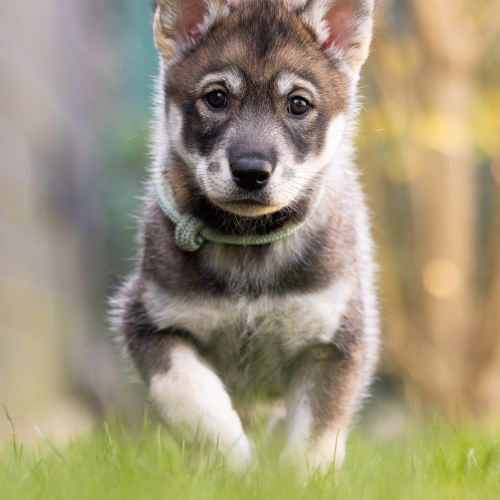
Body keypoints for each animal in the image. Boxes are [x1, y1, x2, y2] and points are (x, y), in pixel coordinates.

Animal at [112, 0, 378, 476]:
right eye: (216, 97)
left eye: (298, 104)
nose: (252, 172)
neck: (248, 246)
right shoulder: (149, 322)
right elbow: (191, 398)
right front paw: (233, 465)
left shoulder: (335, 342)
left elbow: (316, 436)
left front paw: (299, 480)